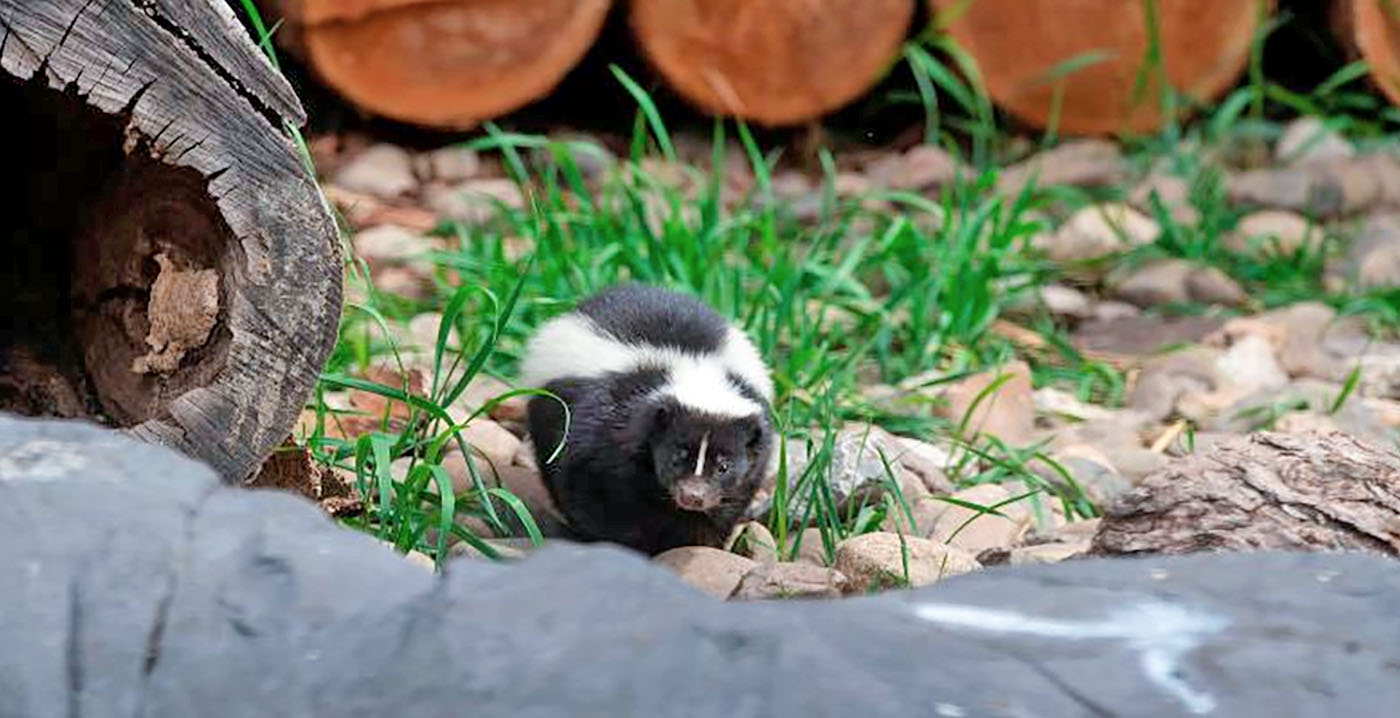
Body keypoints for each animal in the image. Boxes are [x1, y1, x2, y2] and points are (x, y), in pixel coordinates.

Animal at [520, 282, 778, 551]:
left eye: (724, 466)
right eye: (677, 455)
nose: (693, 496)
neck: (694, 369)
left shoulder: (755, 459)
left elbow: (728, 501)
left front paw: (696, 541)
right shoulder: (599, 430)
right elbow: (587, 489)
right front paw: (616, 539)